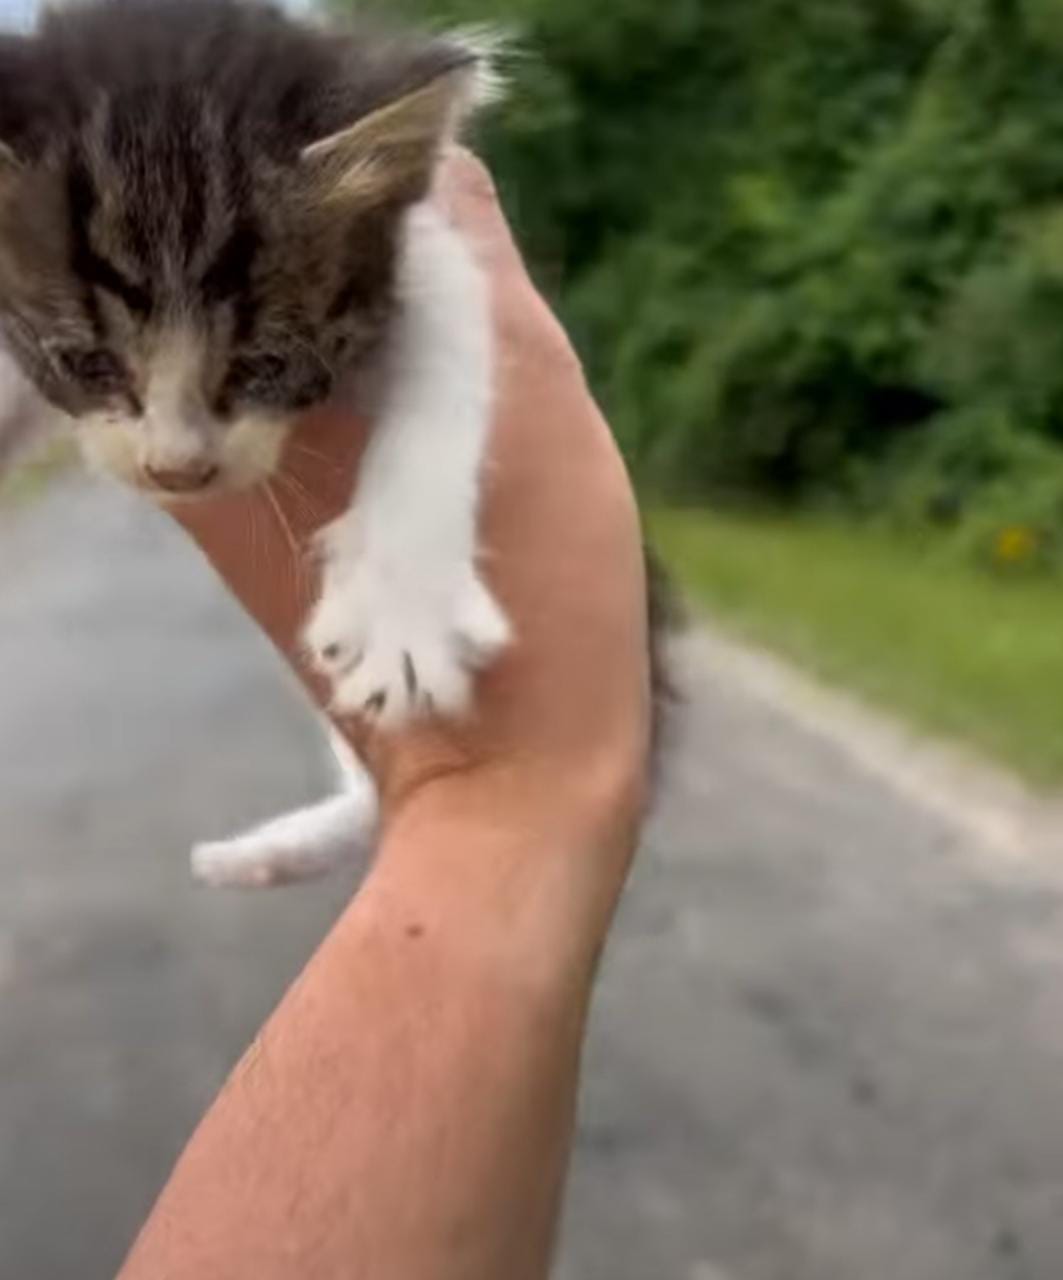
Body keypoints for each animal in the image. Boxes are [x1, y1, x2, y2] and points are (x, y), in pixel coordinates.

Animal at [0, 0, 512, 890]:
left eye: (264, 364)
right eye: (88, 363)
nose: (177, 468)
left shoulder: (423, 244)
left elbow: (450, 348)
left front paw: (405, 617)